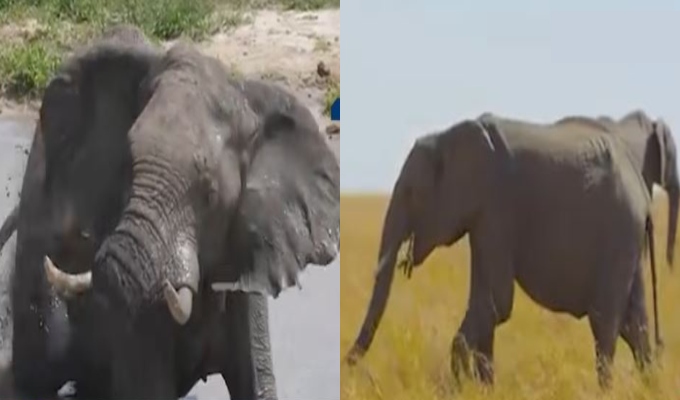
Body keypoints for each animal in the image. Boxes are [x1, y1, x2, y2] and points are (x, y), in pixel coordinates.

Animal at [345, 112, 660, 389]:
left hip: (620, 229)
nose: (347, 364)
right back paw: (648, 387)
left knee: (604, 322)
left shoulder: (496, 205)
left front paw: (459, 388)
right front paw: (485, 388)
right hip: (628, 240)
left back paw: (607, 391)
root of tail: (644, 195)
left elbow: (496, 302)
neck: (448, 137)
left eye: (413, 193)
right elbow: (487, 303)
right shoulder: (482, 219)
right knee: (635, 325)